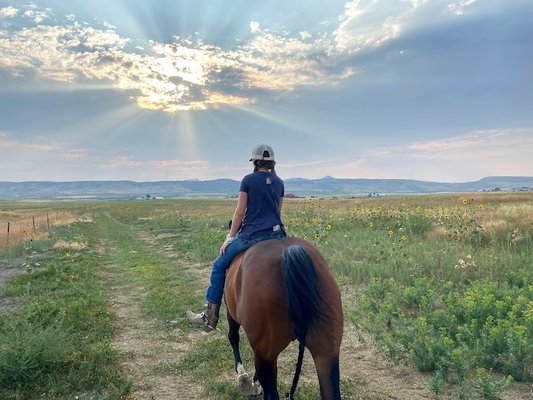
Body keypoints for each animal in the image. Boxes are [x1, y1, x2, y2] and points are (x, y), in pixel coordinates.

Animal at [222, 236, 342, 398]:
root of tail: (288, 251)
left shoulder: (231, 311)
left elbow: (233, 336)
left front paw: (243, 377)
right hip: (326, 353)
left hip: (266, 356)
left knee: (271, 394)